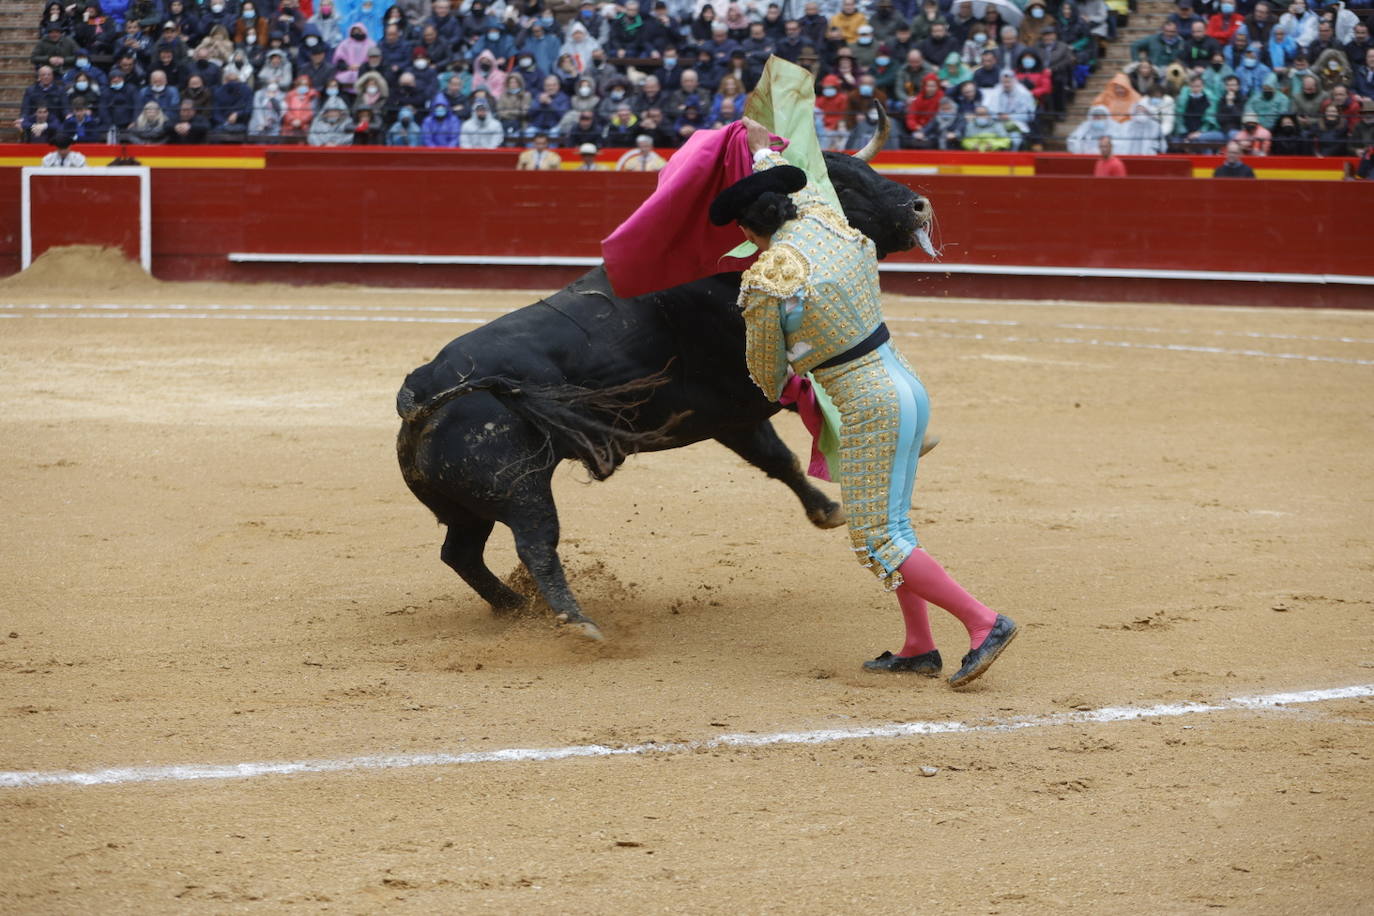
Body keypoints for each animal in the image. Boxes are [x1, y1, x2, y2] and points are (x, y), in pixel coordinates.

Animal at [398, 146, 934, 642]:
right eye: (839, 183)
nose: (918, 205)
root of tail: (419, 390)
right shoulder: (747, 392)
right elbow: (792, 419)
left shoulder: (730, 417)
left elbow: (777, 459)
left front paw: (827, 510)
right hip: (519, 485)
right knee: (535, 542)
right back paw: (578, 623)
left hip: (466, 504)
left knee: (461, 553)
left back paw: (514, 605)